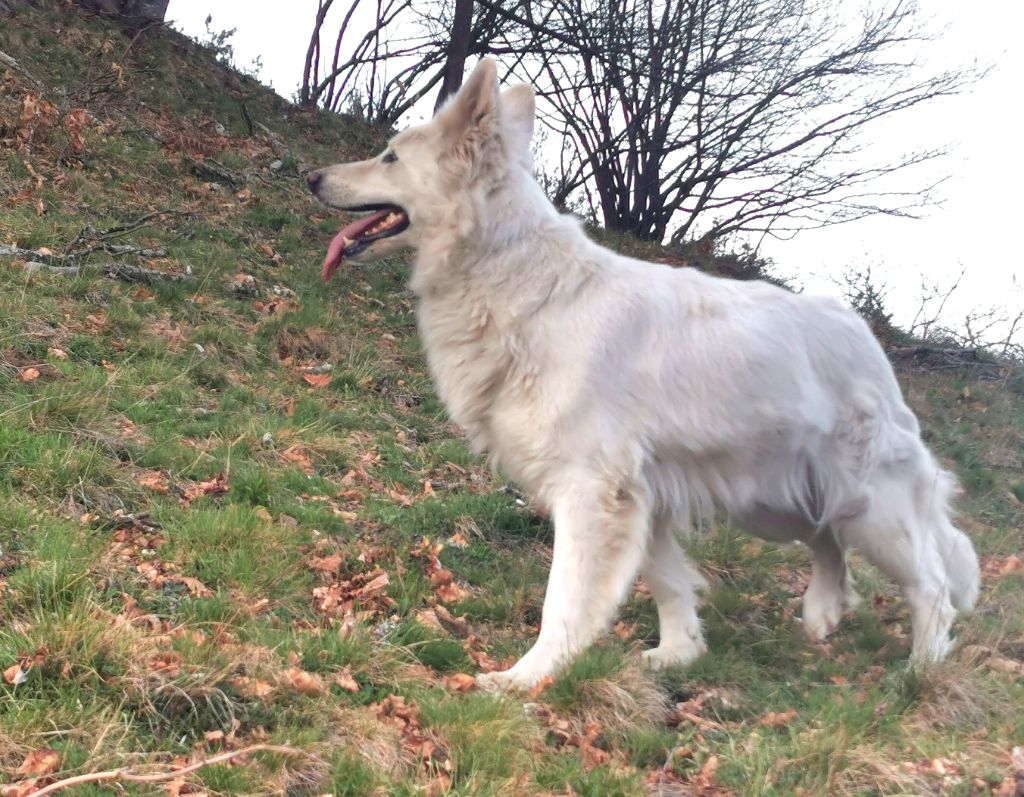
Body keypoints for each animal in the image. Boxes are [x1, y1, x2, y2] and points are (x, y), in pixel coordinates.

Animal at [307, 58, 978, 684]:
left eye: (391, 156)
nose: (310, 176)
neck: (516, 276)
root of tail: (864, 337)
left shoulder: (592, 493)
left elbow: (565, 602)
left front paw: (528, 680)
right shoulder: (641, 500)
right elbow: (669, 584)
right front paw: (678, 654)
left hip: (871, 510)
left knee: (931, 584)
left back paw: (920, 671)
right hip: (777, 500)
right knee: (826, 540)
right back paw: (822, 612)